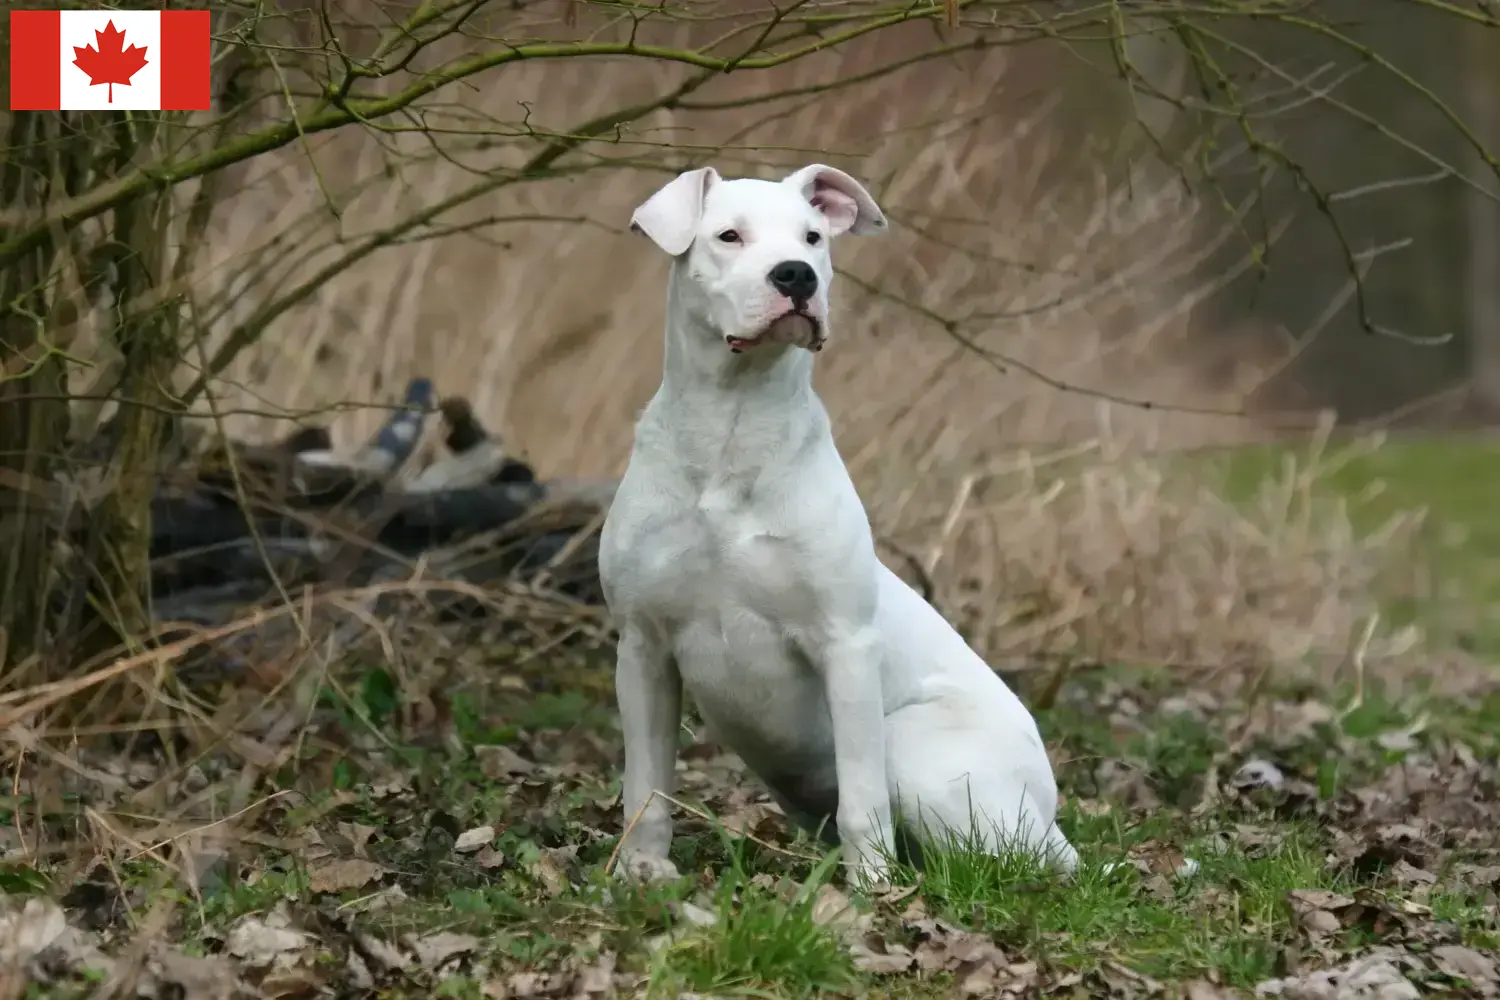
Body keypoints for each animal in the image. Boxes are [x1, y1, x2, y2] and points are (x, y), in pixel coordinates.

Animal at [597, 158, 1080, 881]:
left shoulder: (844, 645)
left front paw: (871, 886)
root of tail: (1049, 813)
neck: (732, 427)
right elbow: (646, 786)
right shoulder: (644, 649)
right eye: (729, 236)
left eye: (814, 237)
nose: (797, 275)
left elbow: (862, 798)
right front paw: (643, 873)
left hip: (916, 748)